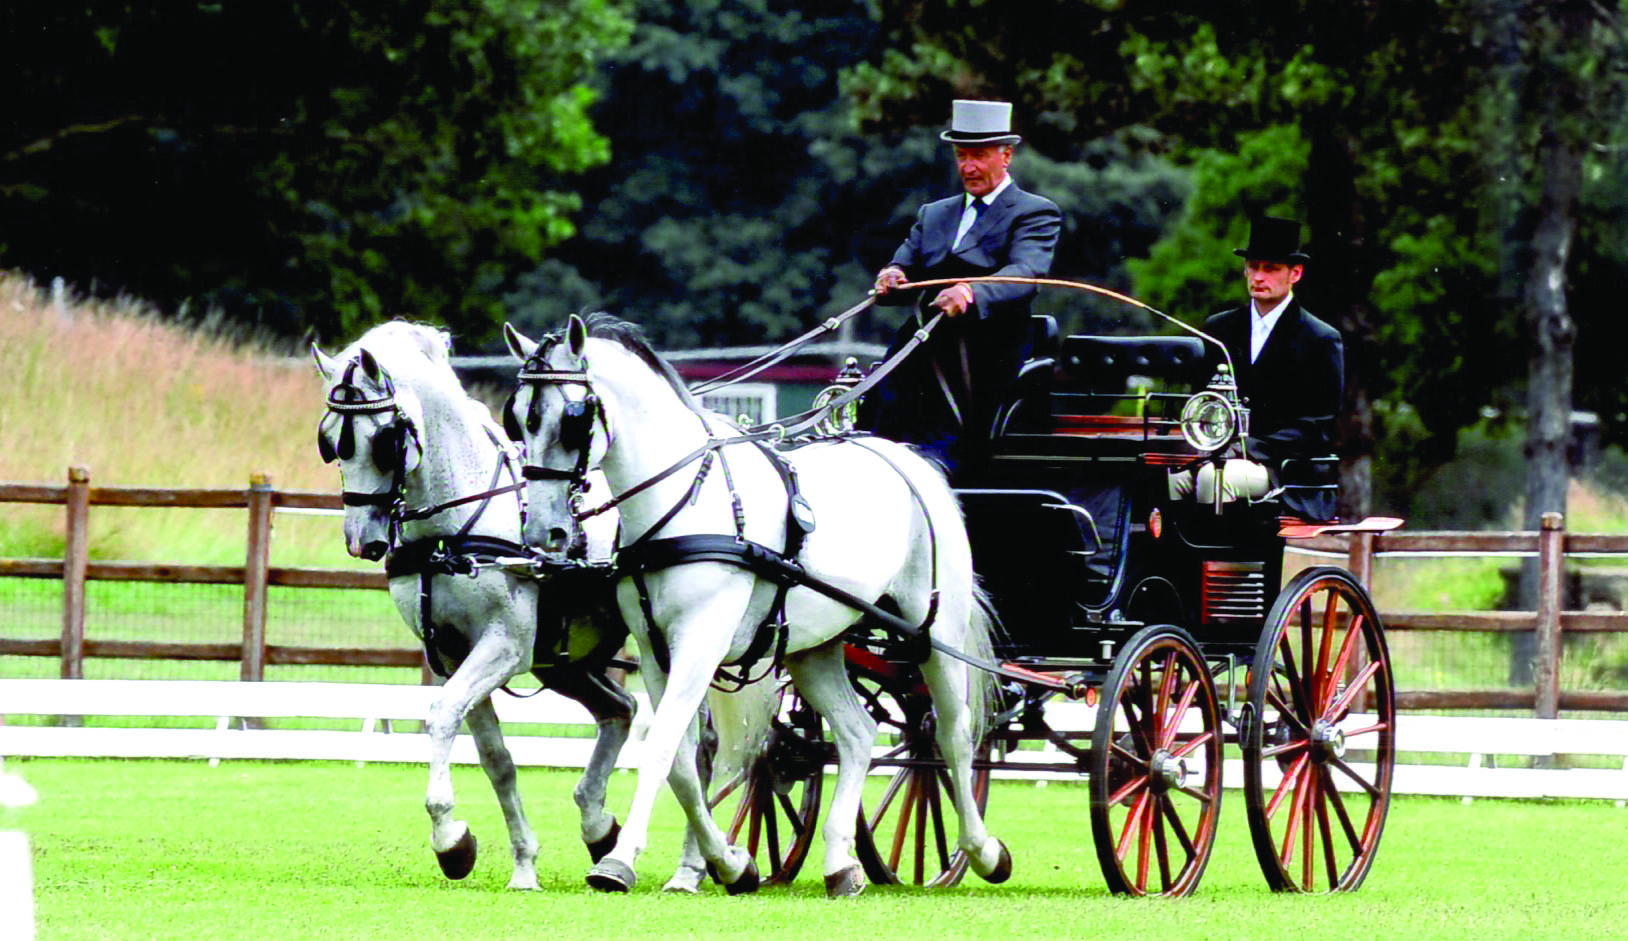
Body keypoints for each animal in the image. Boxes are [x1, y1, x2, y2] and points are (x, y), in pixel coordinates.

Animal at [315, 320, 774, 885]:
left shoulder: (505, 645)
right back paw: (600, 827)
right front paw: (517, 863)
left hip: (678, 642)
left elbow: (442, 714)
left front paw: (449, 838)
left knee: (700, 744)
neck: (454, 526)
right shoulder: (451, 654)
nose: (362, 540)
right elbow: (495, 757)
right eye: (330, 441)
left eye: (384, 440)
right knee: (621, 710)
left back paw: (693, 868)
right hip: (563, 662)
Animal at [501, 309, 1009, 892]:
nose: (545, 533)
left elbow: (662, 747)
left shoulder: (701, 642)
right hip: (815, 649)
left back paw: (982, 851)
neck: (684, 503)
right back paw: (841, 864)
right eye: (517, 420)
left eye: (575, 418)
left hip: (933, 635)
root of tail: (909, 460)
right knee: (859, 733)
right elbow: (683, 763)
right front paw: (727, 861)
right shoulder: (656, 652)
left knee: (952, 734)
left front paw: (620, 860)